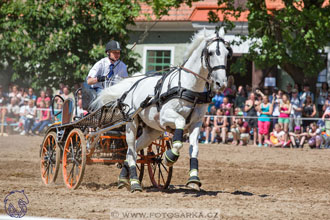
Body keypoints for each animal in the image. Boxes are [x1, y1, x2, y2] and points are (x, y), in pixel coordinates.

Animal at [93, 27, 231, 191]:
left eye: (227, 53)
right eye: (210, 53)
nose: (221, 83)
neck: (189, 87)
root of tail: (133, 84)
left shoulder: (196, 123)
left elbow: (194, 149)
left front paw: (193, 179)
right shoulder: (166, 117)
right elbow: (179, 132)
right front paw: (169, 157)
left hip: (151, 131)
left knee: (133, 151)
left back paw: (123, 179)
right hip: (131, 124)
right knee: (131, 151)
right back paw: (134, 183)